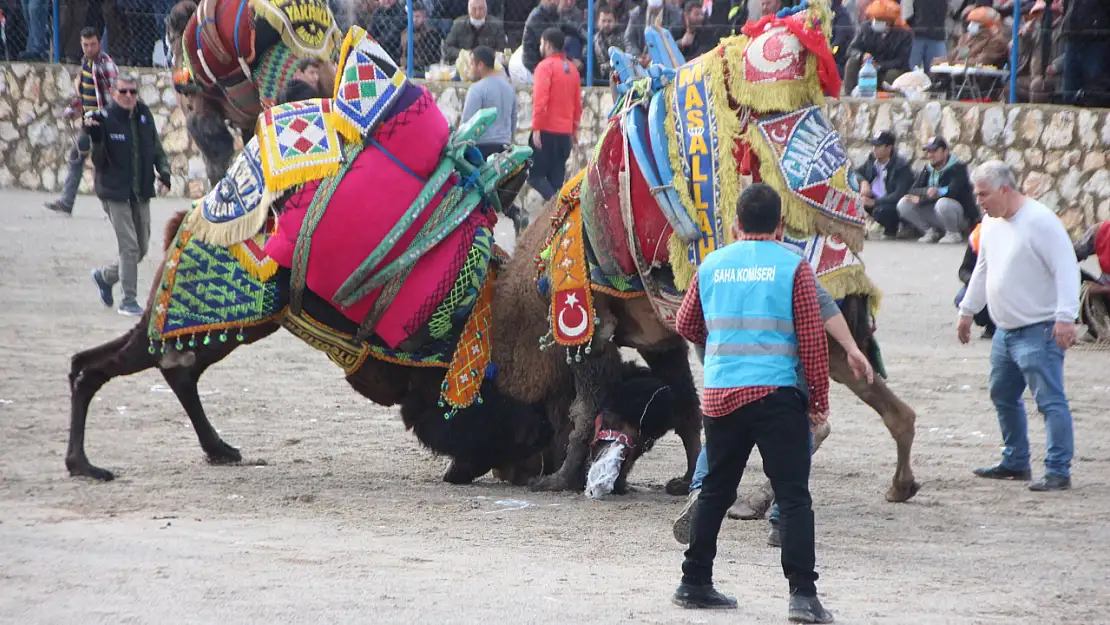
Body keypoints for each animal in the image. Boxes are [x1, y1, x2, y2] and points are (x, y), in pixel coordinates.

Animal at [62, 26, 552, 486]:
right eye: (534, 430)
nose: (531, 467)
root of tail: (186, 221)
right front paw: (469, 464)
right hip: (209, 316)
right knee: (101, 366)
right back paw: (85, 463)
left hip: (233, 325)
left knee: (158, 368)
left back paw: (213, 449)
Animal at [486, 4, 919, 503]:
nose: (508, 470)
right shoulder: (659, 340)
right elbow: (687, 406)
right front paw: (686, 478)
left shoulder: (587, 327)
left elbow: (585, 409)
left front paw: (560, 478)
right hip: (836, 338)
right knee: (888, 404)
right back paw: (899, 484)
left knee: (816, 416)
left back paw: (760, 499)